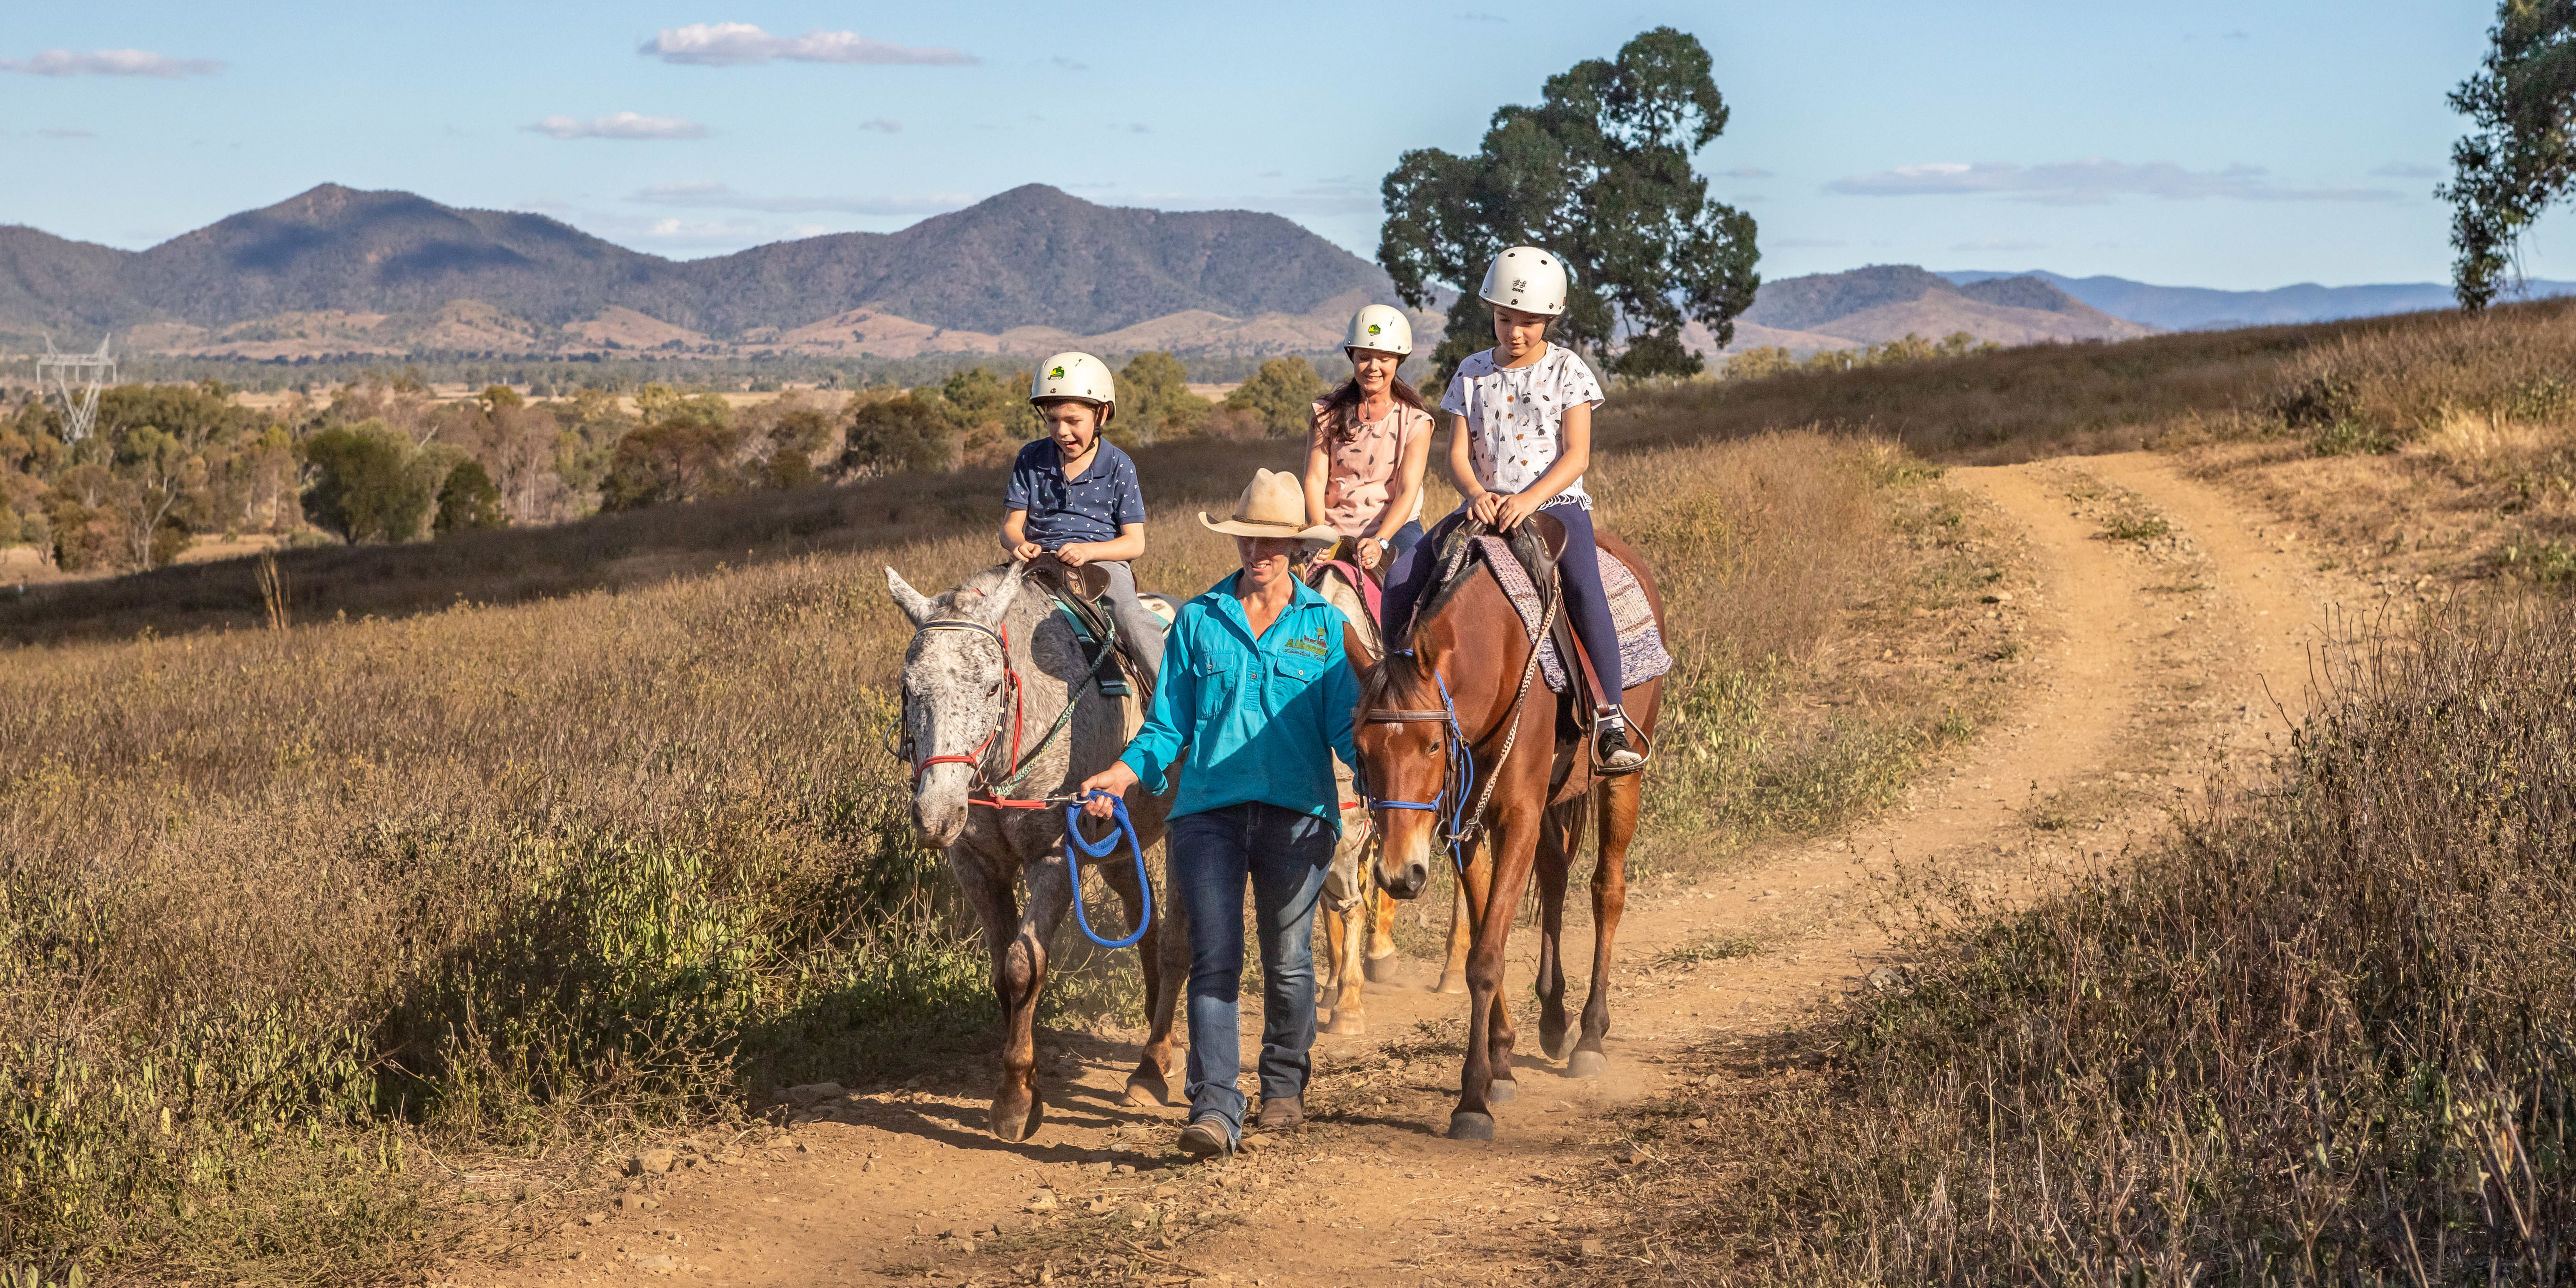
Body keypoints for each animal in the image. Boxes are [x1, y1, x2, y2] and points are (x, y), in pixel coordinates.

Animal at [875, 559, 1179, 1144]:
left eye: (993, 685)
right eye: (907, 687)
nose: (935, 815)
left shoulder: (1054, 858)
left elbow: (1023, 964)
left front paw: (1015, 1098)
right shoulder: (976, 866)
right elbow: (1001, 973)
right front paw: (1025, 1083)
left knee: (1185, 940)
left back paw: (1153, 1064)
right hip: (1116, 847)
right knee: (1147, 920)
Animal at [1360, 517, 1659, 1144]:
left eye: (1431, 745)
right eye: (1360, 746)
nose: (1397, 874)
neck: (1493, 661)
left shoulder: (1517, 813)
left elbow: (1485, 957)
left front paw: (1473, 1098)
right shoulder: (1468, 825)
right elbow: (1485, 930)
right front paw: (1500, 1062)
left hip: (1623, 779)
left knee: (1606, 890)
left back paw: (1589, 1034)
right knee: (1554, 880)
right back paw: (1553, 1018)